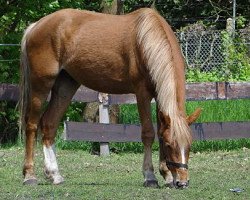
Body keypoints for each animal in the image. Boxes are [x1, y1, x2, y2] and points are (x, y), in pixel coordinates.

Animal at [19, 7, 201, 188]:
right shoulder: (142, 94)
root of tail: (36, 26)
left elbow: (160, 130)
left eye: (189, 145)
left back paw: (54, 174)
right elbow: (148, 133)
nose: (182, 182)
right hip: (41, 86)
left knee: (49, 124)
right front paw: (150, 176)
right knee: (32, 125)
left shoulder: (159, 95)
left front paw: (167, 175)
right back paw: (30, 175)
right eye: (171, 145)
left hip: (65, 86)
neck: (147, 41)